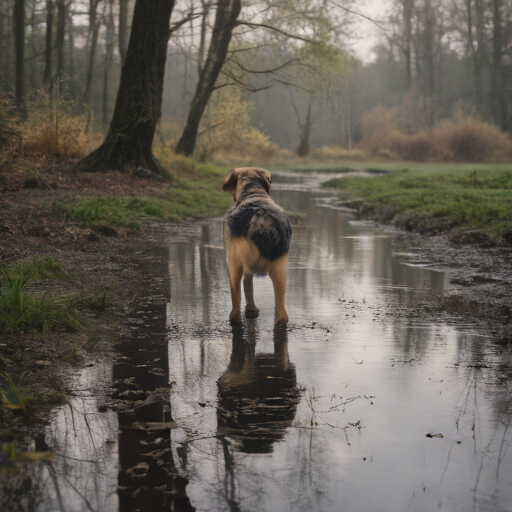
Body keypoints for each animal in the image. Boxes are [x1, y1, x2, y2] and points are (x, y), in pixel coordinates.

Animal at [221, 169, 292, 328]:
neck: (253, 192)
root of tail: (262, 220)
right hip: (280, 268)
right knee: (282, 315)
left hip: (235, 263)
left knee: (238, 298)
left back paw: (243, 314)